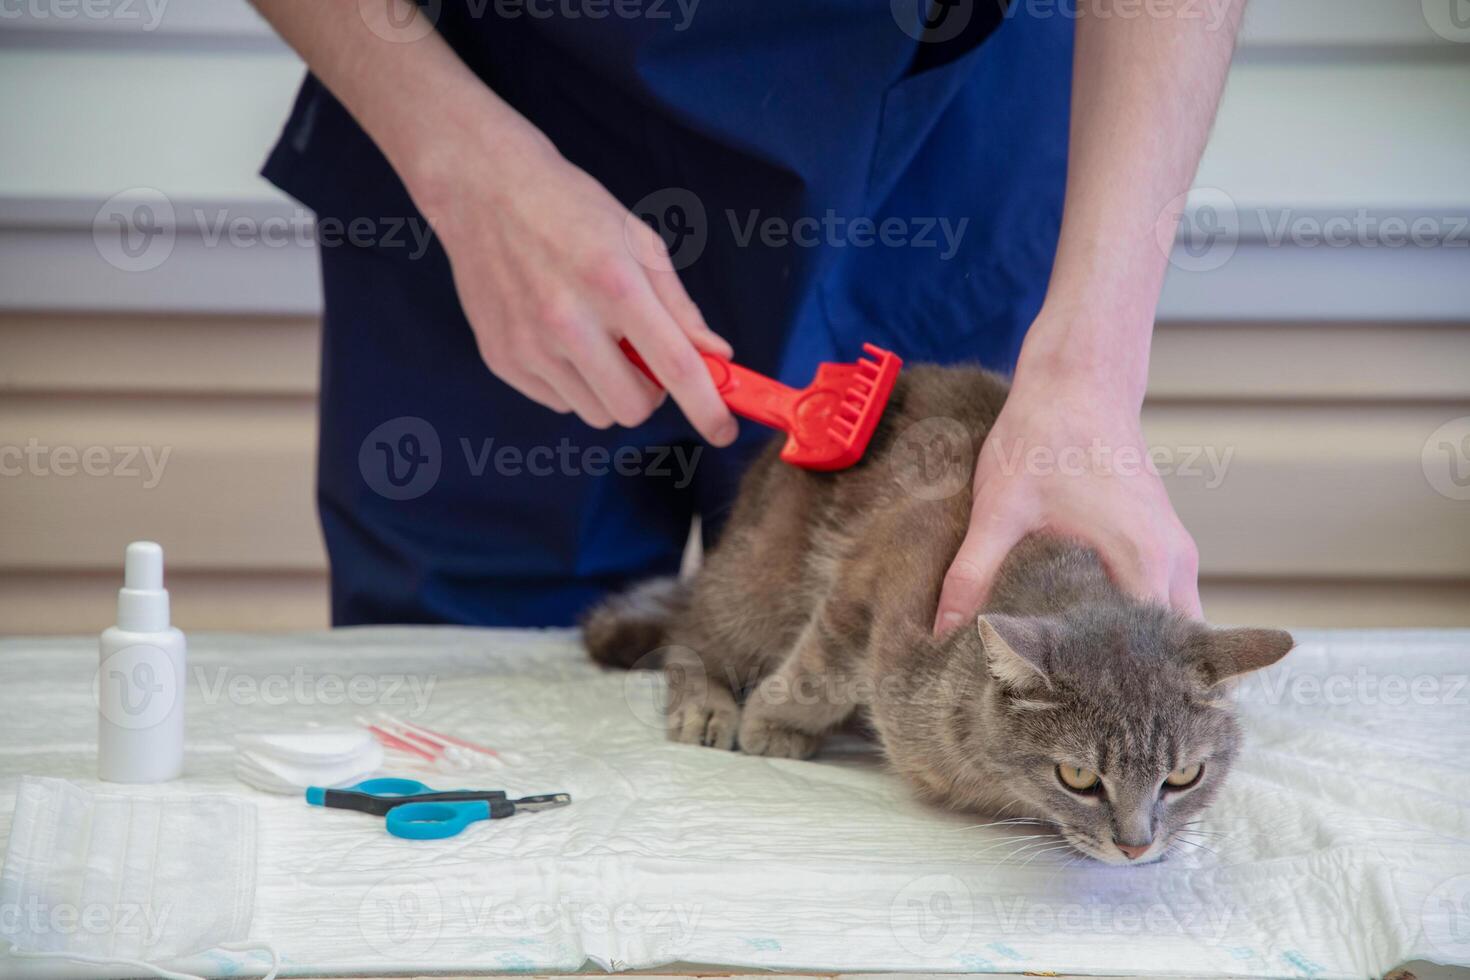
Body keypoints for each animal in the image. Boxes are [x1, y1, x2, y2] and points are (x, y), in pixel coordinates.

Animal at [579, 367, 1293, 863]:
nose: (1137, 846)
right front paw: (773, 721)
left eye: (1185, 776)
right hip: (759, 581)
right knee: (695, 636)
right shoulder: (867, 578)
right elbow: (818, 673)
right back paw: (708, 703)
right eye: (1079, 777)